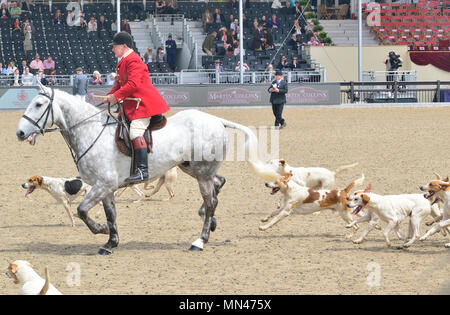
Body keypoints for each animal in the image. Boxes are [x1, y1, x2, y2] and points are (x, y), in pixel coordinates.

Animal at [16, 82, 278, 256]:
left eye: (38, 104)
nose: (20, 133)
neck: (89, 130)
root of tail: (216, 120)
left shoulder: (103, 184)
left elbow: (82, 211)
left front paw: (100, 230)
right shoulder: (106, 188)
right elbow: (110, 214)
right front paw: (110, 242)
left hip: (201, 172)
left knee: (212, 198)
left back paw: (200, 240)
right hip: (192, 168)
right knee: (218, 184)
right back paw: (208, 219)